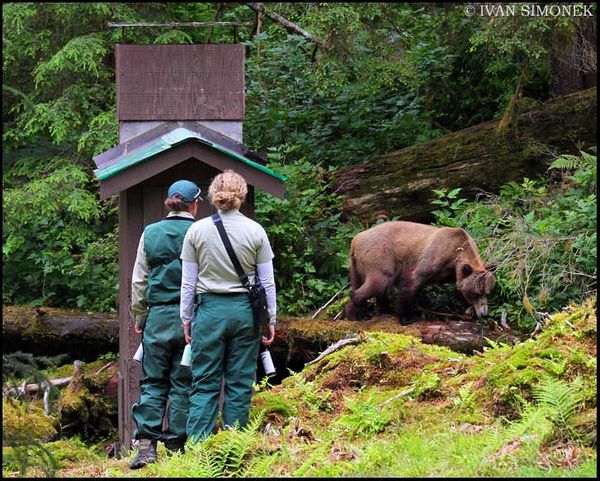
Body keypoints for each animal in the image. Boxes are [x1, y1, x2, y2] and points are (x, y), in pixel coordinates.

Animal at [344, 220, 494, 322]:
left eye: (487, 293)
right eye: (475, 293)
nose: (484, 313)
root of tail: (356, 239)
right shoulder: (433, 257)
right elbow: (412, 281)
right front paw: (406, 317)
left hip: (355, 265)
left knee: (359, 283)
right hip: (381, 255)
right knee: (379, 282)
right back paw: (361, 312)